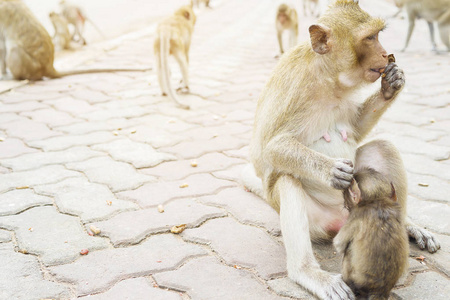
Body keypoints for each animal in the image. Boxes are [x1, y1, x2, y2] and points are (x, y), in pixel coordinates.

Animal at [0, 0, 150, 81]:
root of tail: (49, 66)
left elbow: (2, 47)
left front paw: (3, 75)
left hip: (30, 65)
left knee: (14, 50)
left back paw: (17, 77)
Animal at [334, 141, 412, 300]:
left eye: (346, 202)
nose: (345, 206)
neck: (377, 201)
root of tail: (380, 291)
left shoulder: (355, 217)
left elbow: (339, 244)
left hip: (354, 277)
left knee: (348, 251)